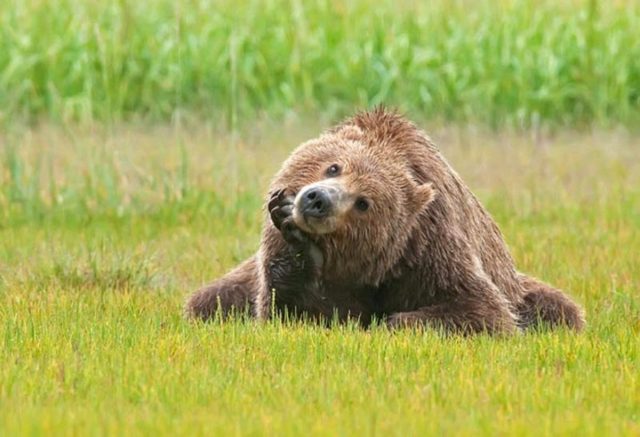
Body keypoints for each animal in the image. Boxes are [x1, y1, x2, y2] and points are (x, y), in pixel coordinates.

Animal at [185, 107, 584, 332]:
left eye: (364, 203)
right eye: (334, 166)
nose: (317, 200)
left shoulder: (427, 248)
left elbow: (482, 309)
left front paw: (391, 322)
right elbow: (286, 310)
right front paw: (297, 243)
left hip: (521, 288)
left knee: (560, 310)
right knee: (208, 300)